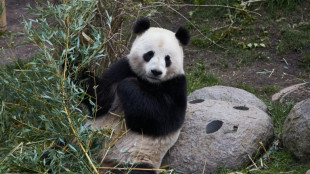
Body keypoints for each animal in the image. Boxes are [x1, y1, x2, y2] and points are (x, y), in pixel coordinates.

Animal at [82, 18, 190, 174]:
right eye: (149, 54)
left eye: (167, 58)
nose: (156, 72)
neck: (149, 82)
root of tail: (101, 164)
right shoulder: (123, 67)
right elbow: (100, 100)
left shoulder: (177, 84)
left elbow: (164, 118)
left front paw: (128, 84)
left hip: (137, 159)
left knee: (139, 169)